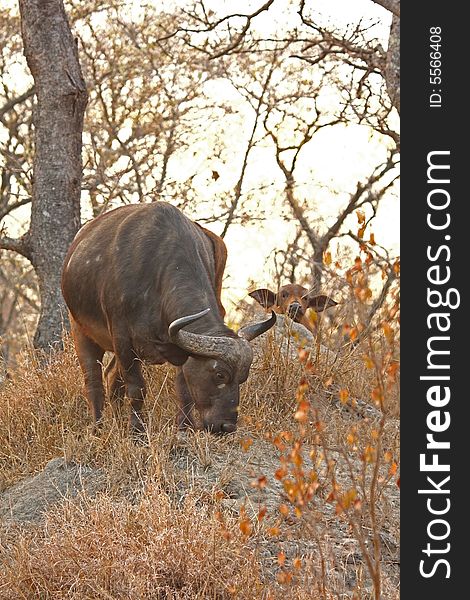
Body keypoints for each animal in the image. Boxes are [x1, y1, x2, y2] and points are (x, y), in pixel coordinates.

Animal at [61, 204, 276, 434]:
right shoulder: (123, 340)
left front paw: (184, 427)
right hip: (81, 330)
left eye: (243, 377)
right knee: (93, 381)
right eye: (220, 375)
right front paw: (137, 432)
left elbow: (183, 389)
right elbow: (136, 388)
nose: (226, 426)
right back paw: (98, 428)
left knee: (111, 378)